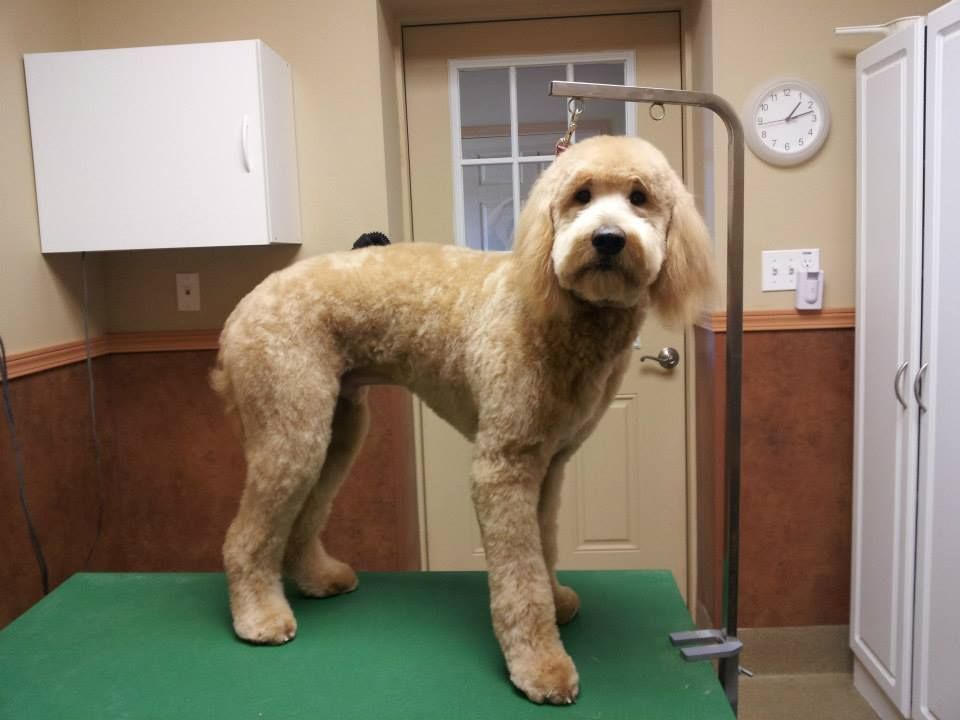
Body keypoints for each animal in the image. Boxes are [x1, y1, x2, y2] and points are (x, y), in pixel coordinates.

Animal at [214, 134, 716, 704]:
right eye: (582, 196)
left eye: (639, 197)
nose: (608, 239)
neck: (562, 315)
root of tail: (242, 308)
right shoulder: (503, 467)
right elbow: (519, 576)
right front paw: (540, 665)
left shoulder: (549, 465)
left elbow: (543, 544)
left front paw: (556, 598)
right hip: (290, 428)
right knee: (246, 535)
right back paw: (258, 617)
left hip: (336, 431)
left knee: (302, 515)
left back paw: (318, 578)